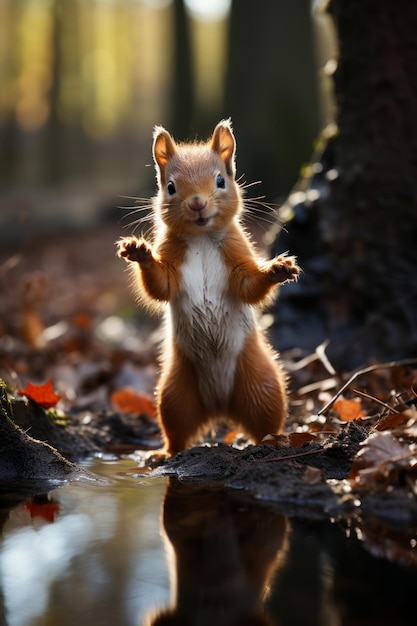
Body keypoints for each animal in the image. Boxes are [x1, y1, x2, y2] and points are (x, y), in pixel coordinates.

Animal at [116, 118, 300, 454]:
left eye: (221, 180)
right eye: (170, 187)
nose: (198, 203)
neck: (201, 238)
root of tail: (219, 405)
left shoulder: (237, 260)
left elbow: (249, 286)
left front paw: (277, 269)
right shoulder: (172, 267)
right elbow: (160, 287)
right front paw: (140, 252)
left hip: (261, 383)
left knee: (265, 422)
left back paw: (275, 441)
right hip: (175, 393)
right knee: (176, 431)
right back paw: (164, 454)